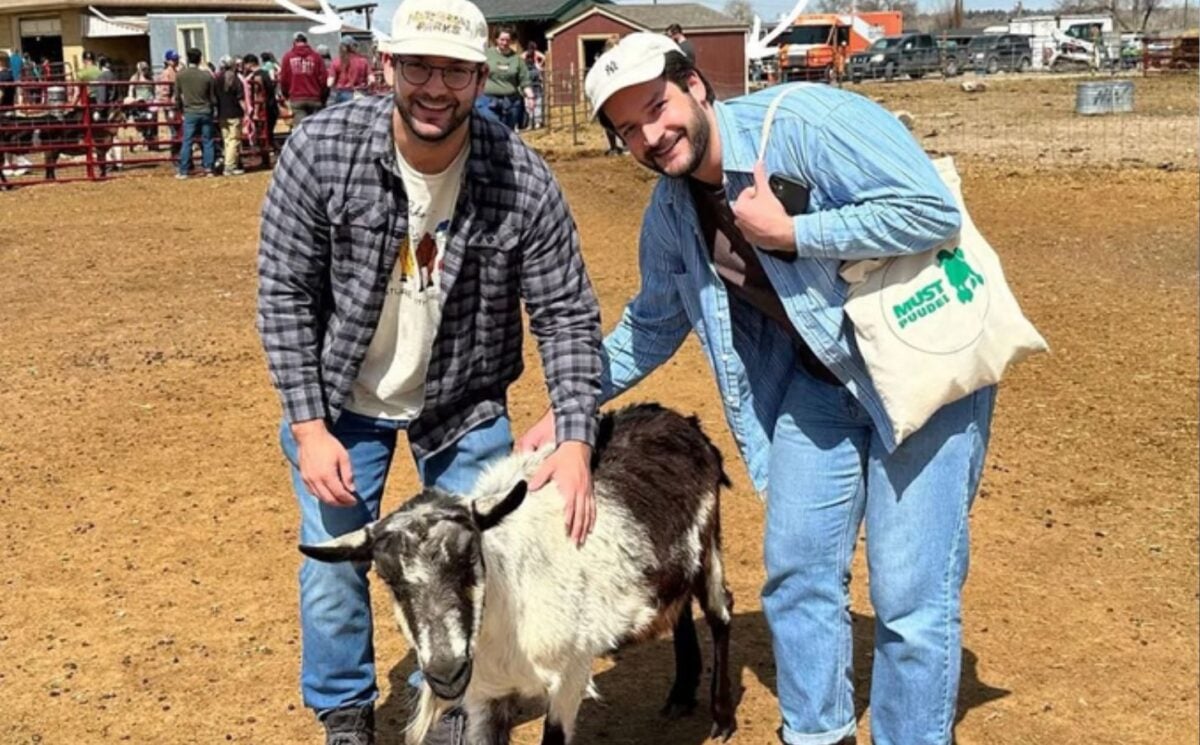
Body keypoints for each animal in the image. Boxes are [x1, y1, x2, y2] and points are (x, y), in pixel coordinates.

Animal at [300, 403, 734, 743]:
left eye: (470, 556)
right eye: (388, 579)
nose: (445, 673)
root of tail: (679, 420)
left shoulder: (569, 676)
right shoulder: (485, 694)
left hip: (708, 539)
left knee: (719, 612)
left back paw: (722, 718)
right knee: (679, 607)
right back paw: (680, 695)